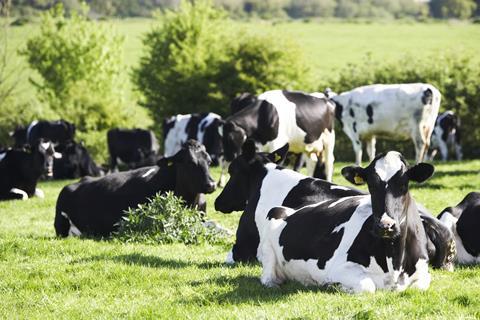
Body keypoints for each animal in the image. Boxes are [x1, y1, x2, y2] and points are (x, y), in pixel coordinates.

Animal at [258, 152, 436, 292]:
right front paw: (334, 286)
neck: (394, 262)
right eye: (371, 185)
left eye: (403, 184)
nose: (385, 225)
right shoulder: (340, 268)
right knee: (267, 278)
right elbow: (367, 286)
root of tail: (290, 210)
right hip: (270, 228)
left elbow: (419, 286)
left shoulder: (423, 270)